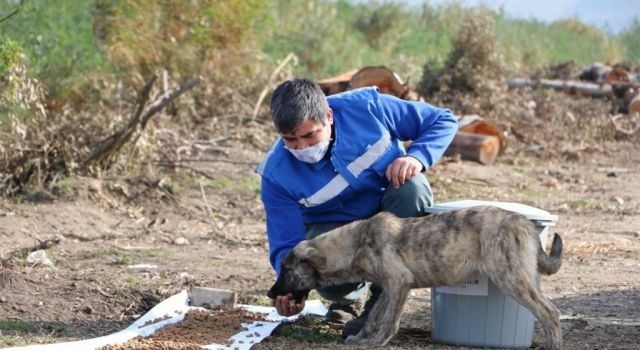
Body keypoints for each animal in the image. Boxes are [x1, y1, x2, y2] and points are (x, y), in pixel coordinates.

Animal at [268, 206, 564, 348]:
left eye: (287, 271)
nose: (271, 294)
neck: (356, 244)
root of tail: (524, 223)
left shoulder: (399, 283)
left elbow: (388, 321)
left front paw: (376, 342)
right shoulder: (389, 288)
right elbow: (374, 316)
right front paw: (362, 337)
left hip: (511, 278)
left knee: (550, 312)